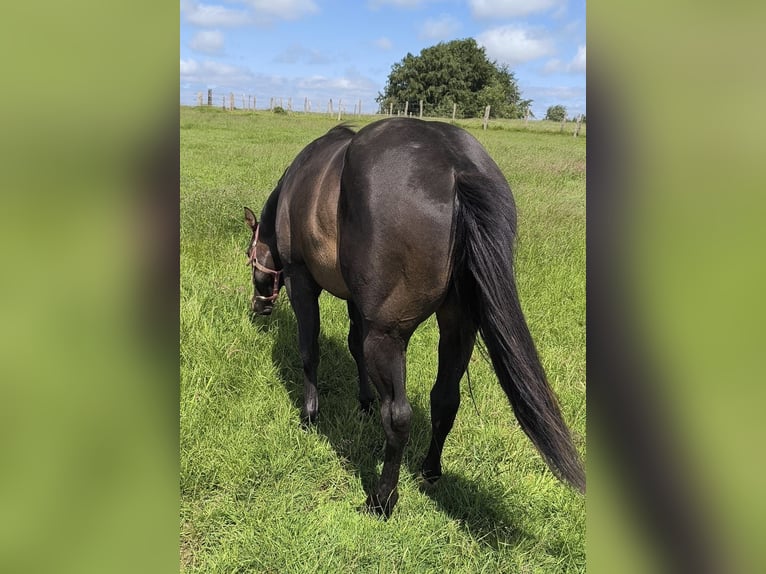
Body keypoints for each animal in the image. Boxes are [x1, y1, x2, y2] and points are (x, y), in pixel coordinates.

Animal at [244, 117, 585, 518]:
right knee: (446, 400)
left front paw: (310, 415)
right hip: (458, 329)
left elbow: (310, 351)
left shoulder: (301, 281)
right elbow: (353, 347)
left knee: (398, 416)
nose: (259, 307)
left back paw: (382, 499)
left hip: (388, 336)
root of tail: (455, 166)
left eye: (249, 256)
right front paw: (363, 401)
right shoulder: (358, 303)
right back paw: (429, 471)